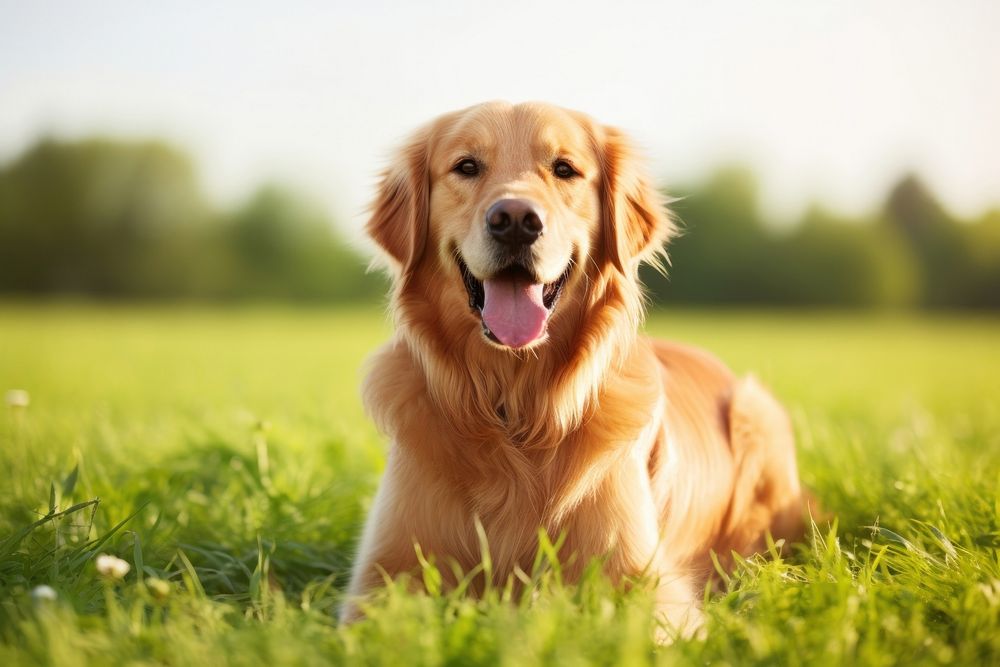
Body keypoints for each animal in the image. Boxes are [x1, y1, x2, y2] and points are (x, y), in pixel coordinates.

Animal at [340, 102, 808, 636]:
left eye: (564, 169)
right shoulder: (382, 576)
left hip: (757, 412)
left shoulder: (647, 583)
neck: (516, 407)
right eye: (466, 166)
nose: (515, 220)